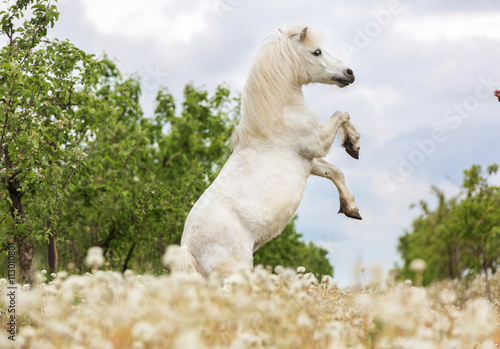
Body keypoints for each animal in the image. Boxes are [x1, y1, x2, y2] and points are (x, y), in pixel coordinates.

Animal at [166, 24, 362, 276]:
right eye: (316, 51)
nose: (349, 73)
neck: (280, 116)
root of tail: (188, 249)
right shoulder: (317, 144)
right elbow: (342, 114)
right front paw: (353, 145)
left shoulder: (309, 162)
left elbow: (335, 172)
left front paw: (352, 209)